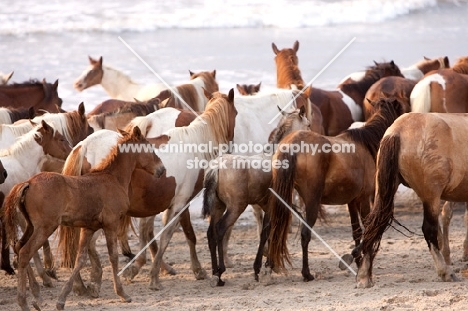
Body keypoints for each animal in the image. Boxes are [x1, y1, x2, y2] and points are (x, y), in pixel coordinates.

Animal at [1, 127, 165, 311]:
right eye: (149, 147)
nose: (161, 169)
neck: (112, 178)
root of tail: (28, 182)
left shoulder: (88, 228)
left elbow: (80, 260)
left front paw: (62, 299)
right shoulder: (111, 224)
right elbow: (113, 257)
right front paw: (122, 293)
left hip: (31, 226)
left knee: (19, 248)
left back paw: (36, 295)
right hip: (45, 228)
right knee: (25, 253)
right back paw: (25, 301)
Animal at [202, 106, 310, 286]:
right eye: (308, 125)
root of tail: (216, 167)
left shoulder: (267, 206)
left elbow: (267, 231)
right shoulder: (273, 205)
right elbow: (266, 232)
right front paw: (261, 268)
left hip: (218, 207)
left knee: (211, 233)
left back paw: (215, 272)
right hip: (235, 208)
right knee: (220, 229)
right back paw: (220, 271)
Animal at [266, 97, 406, 282]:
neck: (364, 143)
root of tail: (291, 145)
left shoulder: (352, 201)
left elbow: (357, 231)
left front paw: (358, 260)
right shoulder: (364, 199)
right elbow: (368, 228)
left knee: (273, 227)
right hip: (312, 202)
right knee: (305, 234)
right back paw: (306, 273)